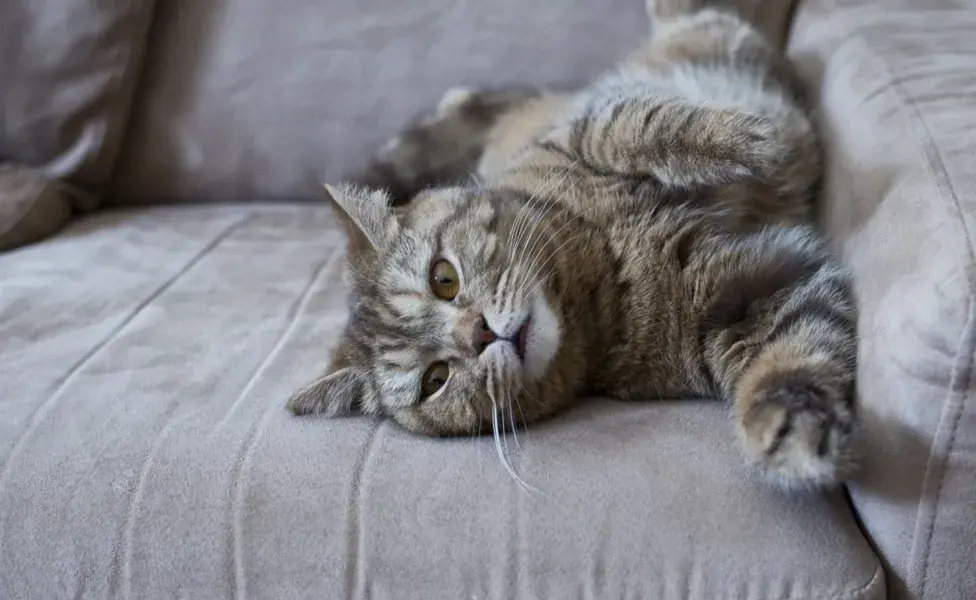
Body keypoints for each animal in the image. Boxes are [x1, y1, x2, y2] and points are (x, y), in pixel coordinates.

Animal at [288, 0, 856, 492]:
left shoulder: (579, 135)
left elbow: (641, 126)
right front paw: (791, 434)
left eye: (443, 278)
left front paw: (748, 140)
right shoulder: (745, 300)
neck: (599, 271)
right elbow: (794, 357)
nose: (480, 333)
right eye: (435, 379)